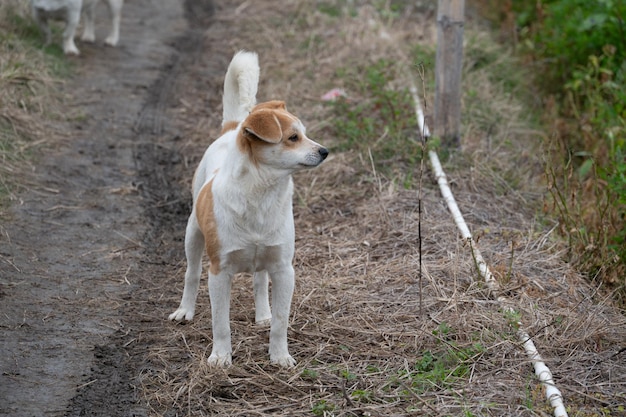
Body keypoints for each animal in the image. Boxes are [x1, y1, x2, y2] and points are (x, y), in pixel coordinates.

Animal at [168, 50, 330, 366]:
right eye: (293, 137)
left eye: (304, 134)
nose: (325, 151)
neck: (261, 194)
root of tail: (232, 128)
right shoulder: (219, 273)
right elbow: (220, 322)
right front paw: (221, 357)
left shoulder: (284, 269)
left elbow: (281, 321)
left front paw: (279, 356)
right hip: (193, 235)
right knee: (191, 273)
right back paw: (185, 310)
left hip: (265, 257)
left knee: (259, 281)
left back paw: (262, 314)